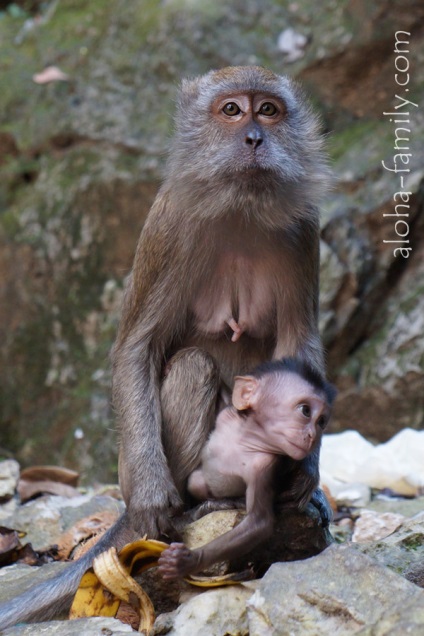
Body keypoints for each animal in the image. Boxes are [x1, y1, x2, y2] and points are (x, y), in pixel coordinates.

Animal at [157, 358, 336, 580]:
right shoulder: (227, 414)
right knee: (197, 481)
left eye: (321, 422)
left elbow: (258, 523)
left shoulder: (263, 467)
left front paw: (188, 561)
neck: (247, 439)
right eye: (305, 411)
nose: (312, 435)